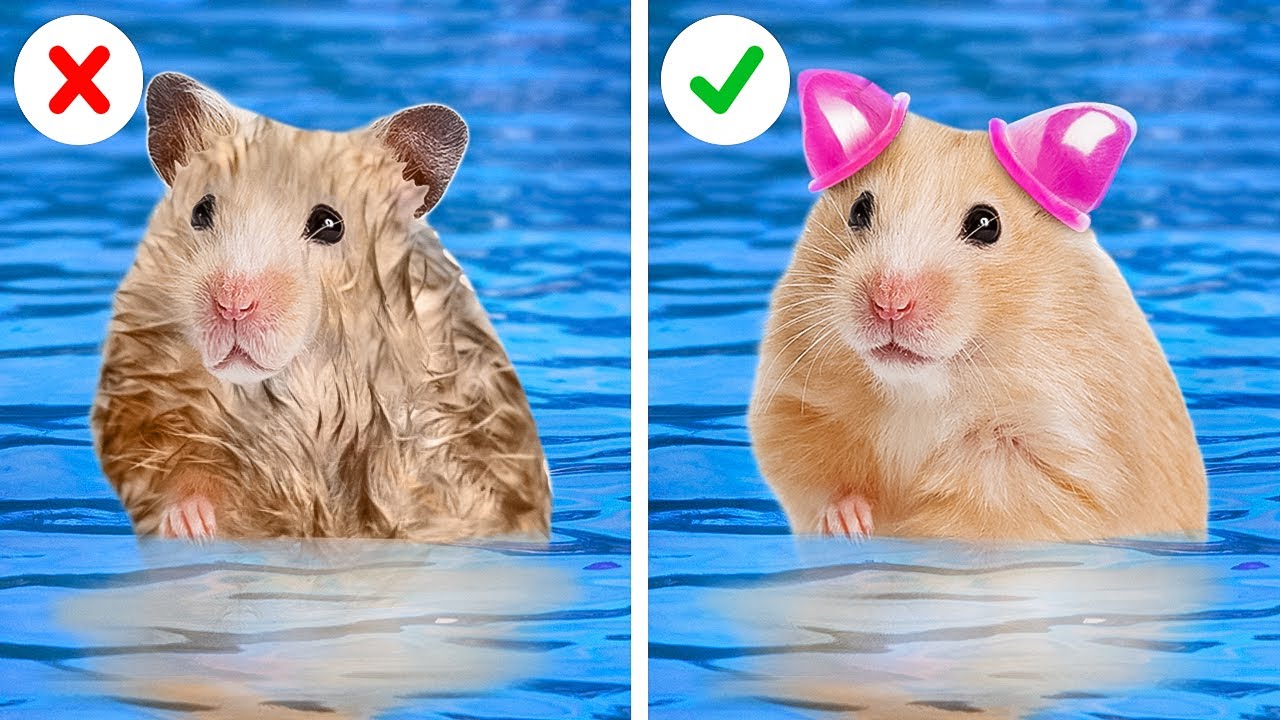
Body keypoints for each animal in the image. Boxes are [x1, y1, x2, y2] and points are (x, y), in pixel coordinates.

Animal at [91, 73, 550, 542]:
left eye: (330, 224)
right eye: (201, 211)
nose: (233, 304)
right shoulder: (145, 383)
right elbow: (168, 462)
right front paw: (191, 526)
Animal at [749, 76, 1206, 542]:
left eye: (986, 224)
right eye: (859, 210)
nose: (889, 303)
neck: (920, 390)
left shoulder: (1049, 460)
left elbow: (975, 516)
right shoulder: (796, 404)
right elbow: (810, 471)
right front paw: (851, 524)